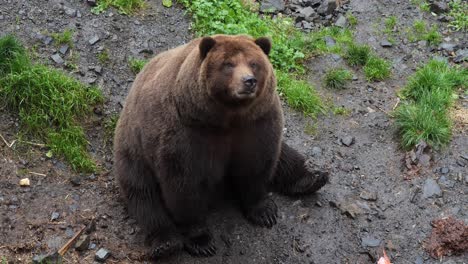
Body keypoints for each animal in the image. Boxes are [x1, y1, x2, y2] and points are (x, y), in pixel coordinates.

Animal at [112, 34, 330, 258]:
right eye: (228, 64)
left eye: (253, 63)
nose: (249, 81)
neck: (226, 117)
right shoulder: (185, 135)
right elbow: (183, 188)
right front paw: (201, 240)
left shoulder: (257, 124)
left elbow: (258, 165)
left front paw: (264, 211)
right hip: (133, 149)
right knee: (143, 194)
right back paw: (165, 243)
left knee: (285, 156)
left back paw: (312, 178)